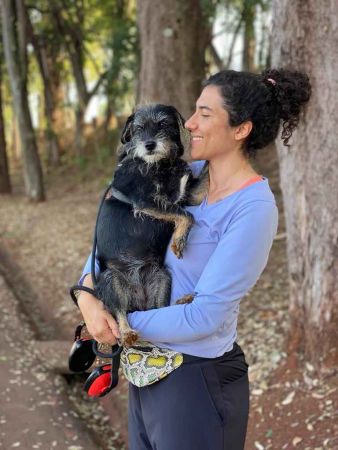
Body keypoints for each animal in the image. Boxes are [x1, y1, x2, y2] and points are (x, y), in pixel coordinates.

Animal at [93, 104, 209, 344]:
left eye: (163, 123)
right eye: (138, 128)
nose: (149, 145)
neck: (162, 164)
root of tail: (138, 301)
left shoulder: (188, 193)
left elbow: (206, 175)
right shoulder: (145, 200)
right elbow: (186, 215)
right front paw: (179, 241)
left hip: (162, 278)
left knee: (162, 312)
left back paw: (184, 300)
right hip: (111, 279)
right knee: (119, 312)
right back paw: (127, 332)